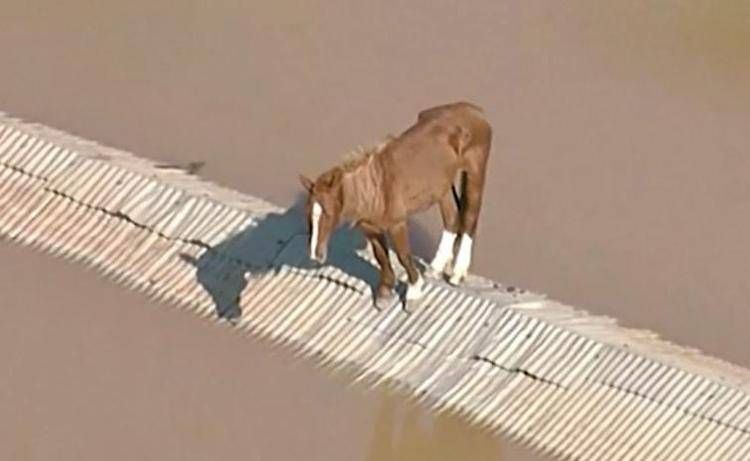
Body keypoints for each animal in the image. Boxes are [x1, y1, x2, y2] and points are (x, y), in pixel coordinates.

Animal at [299, 102, 492, 307]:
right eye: (308, 213)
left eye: (327, 213)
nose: (315, 255)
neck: (374, 188)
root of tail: (475, 111)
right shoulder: (370, 228)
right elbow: (381, 257)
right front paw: (384, 293)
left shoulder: (397, 224)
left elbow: (403, 256)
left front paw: (414, 293)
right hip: (442, 185)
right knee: (452, 218)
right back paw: (436, 267)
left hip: (475, 173)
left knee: (470, 218)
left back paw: (457, 274)